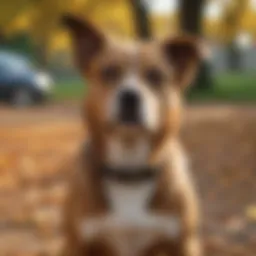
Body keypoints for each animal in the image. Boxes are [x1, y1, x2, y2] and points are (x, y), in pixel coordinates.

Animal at [61, 14, 202, 256]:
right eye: (109, 72)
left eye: (155, 75)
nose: (130, 96)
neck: (129, 167)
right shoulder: (77, 243)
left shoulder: (185, 242)